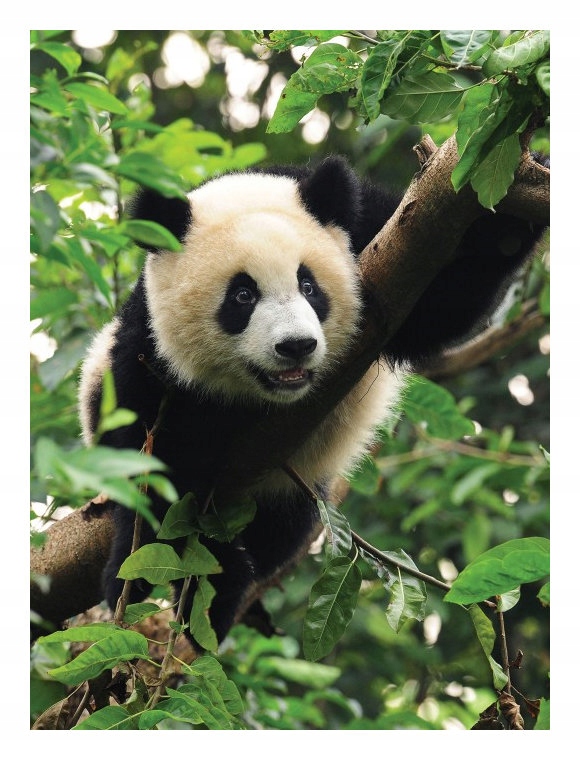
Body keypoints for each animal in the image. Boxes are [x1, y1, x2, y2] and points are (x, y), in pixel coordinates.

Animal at [78, 155, 546, 647]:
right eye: (242, 295)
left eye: (308, 285)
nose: (296, 346)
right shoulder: (149, 353)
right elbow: (156, 469)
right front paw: (187, 580)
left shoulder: (377, 235)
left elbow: (438, 305)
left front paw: (518, 201)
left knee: (282, 532)